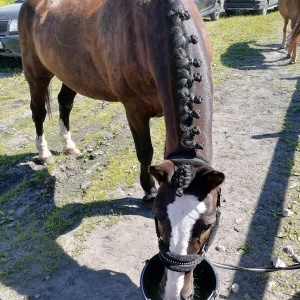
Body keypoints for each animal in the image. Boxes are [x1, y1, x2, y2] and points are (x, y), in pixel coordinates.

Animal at [18, 1, 224, 298]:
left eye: (207, 224)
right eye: (158, 216)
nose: (174, 290)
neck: (155, 25)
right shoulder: (134, 109)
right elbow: (144, 152)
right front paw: (148, 192)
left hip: (69, 74)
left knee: (64, 103)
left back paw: (69, 147)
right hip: (36, 73)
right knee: (37, 112)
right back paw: (44, 153)